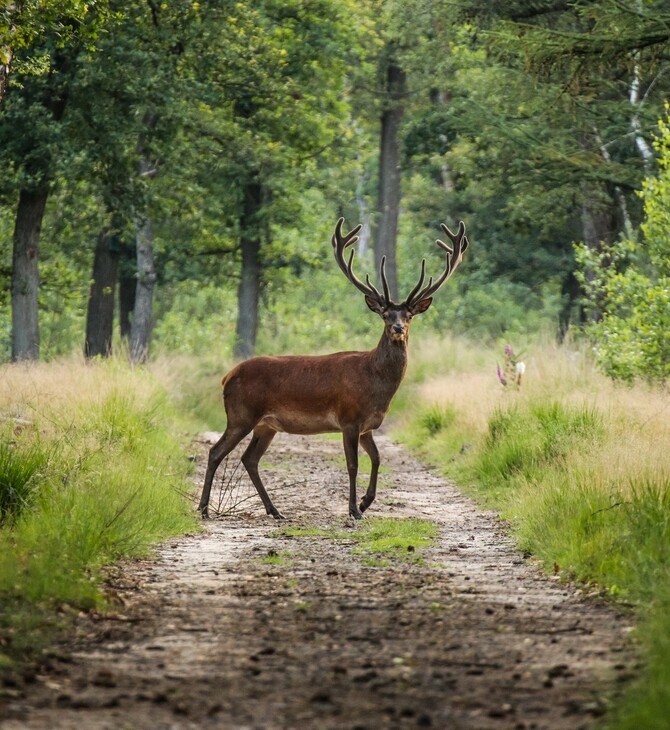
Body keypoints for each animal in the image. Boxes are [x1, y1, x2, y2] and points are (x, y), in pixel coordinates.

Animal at [200, 215, 470, 516]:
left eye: (409, 315)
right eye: (385, 315)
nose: (398, 328)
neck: (375, 384)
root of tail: (227, 376)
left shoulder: (368, 426)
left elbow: (377, 459)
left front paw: (365, 502)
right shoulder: (349, 418)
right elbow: (353, 465)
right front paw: (353, 510)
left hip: (266, 424)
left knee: (249, 458)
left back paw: (274, 510)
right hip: (241, 414)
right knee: (216, 452)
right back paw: (204, 508)